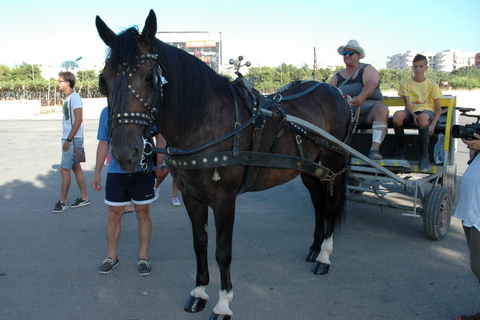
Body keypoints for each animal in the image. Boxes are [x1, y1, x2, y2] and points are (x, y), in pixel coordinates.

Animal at [96, 10, 352, 320]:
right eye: (104, 80)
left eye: (149, 77)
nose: (124, 153)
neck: (204, 121)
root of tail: (335, 91)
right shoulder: (191, 196)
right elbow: (200, 244)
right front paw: (199, 292)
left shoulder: (224, 199)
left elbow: (223, 250)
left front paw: (223, 303)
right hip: (310, 168)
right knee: (318, 202)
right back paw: (315, 247)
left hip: (334, 164)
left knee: (331, 204)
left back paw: (325, 256)